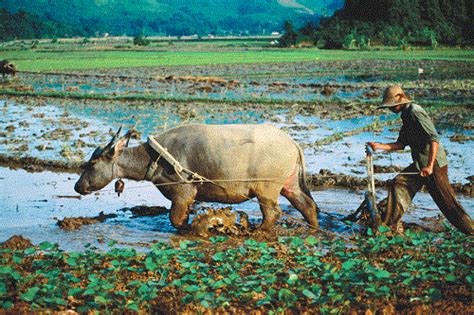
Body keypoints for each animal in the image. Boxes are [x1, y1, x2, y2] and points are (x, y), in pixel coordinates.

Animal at [75, 124, 318, 231]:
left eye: (91, 164)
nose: (78, 186)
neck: (156, 157)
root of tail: (291, 142)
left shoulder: (182, 193)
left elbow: (175, 219)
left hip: (266, 189)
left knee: (272, 213)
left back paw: (257, 230)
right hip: (290, 185)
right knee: (307, 206)